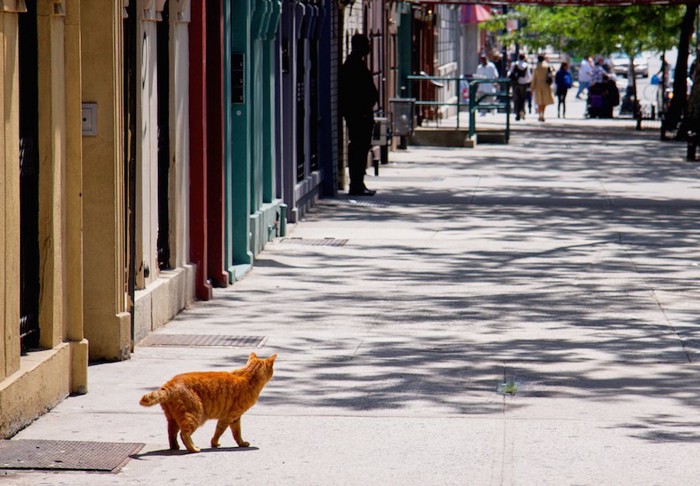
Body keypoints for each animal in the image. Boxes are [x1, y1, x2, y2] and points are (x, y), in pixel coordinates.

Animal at [139, 354, 276, 452]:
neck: (247, 376)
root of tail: (170, 384)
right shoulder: (229, 417)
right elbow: (220, 431)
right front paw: (214, 443)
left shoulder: (235, 418)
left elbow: (237, 433)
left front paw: (241, 443)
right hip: (194, 415)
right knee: (184, 434)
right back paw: (193, 449)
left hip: (173, 418)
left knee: (171, 433)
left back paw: (175, 447)